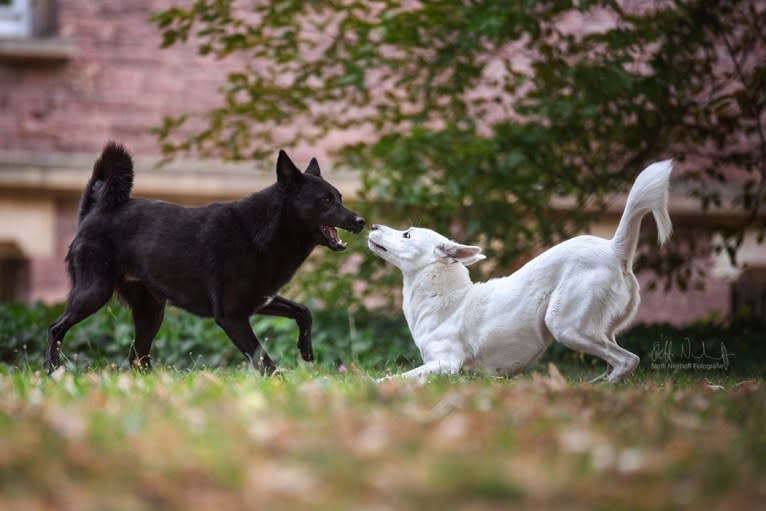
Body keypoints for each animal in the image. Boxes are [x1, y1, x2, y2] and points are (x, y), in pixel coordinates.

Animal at [45, 142, 366, 374]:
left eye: (339, 197)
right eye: (326, 200)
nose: (361, 221)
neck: (261, 231)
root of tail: (95, 211)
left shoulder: (260, 300)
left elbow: (304, 311)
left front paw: (306, 351)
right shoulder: (231, 315)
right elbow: (264, 359)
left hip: (151, 312)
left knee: (137, 356)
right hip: (93, 294)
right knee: (55, 328)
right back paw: (52, 371)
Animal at [368, 161, 676, 384]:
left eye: (407, 234)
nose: (372, 225)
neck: (444, 296)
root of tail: (614, 249)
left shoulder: (445, 364)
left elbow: (397, 378)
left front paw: (373, 384)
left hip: (565, 324)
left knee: (628, 360)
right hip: (596, 327)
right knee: (619, 360)